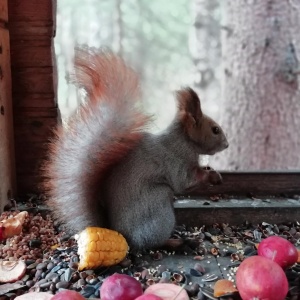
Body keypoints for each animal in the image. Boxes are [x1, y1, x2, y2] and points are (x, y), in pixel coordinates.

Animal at [43, 45, 229, 250]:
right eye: (215, 130)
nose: (227, 144)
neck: (184, 140)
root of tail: (123, 236)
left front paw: (212, 171)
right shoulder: (175, 160)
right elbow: (184, 181)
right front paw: (211, 176)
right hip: (158, 203)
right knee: (154, 241)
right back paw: (177, 241)